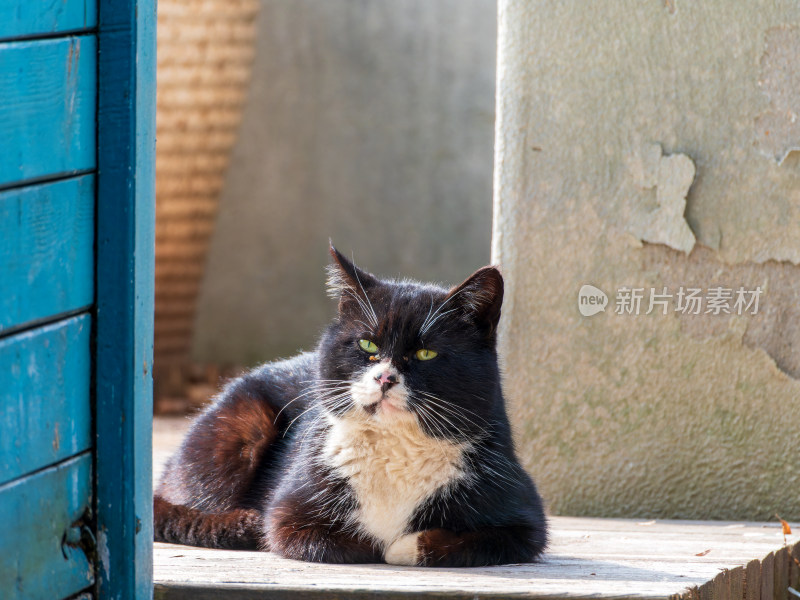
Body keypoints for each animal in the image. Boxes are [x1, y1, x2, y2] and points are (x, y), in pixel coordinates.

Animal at [153, 245, 548, 568]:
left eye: (426, 353)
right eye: (367, 345)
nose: (384, 377)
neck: (395, 449)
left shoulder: (524, 522)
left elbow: (471, 541)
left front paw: (401, 547)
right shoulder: (288, 511)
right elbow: (327, 538)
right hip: (243, 424)